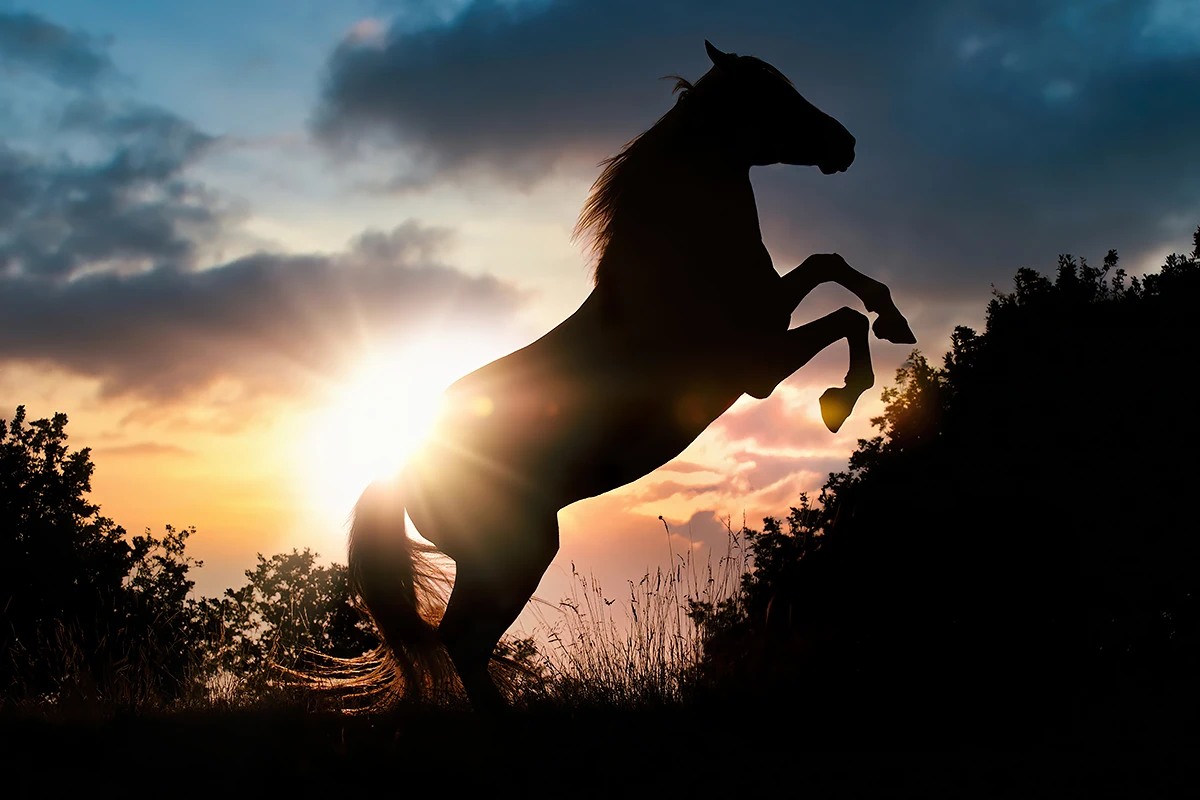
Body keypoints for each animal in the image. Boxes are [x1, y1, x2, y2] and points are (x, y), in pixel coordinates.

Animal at [343, 40, 912, 710]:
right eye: (769, 94)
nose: (844, 145)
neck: (679, 274)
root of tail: (404, 465)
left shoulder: (773, 315)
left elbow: (830, 265)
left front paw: (894, 320)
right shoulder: (763, 365)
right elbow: (844, 316)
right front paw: (838, 400)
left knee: (464, 642)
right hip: (512, 555)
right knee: (463, 640)